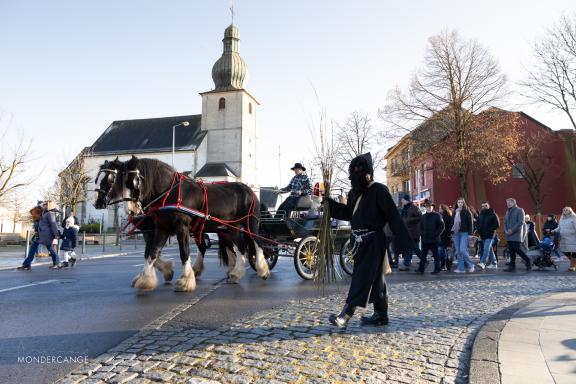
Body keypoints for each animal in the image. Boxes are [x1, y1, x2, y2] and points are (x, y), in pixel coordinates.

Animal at [96, 156, 270, 292]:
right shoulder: (161, 229)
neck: (167, 193)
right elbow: (152, 253)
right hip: (229, 228)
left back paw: (262, 270)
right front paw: (146, 279)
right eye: (119, 181)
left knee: (256, 243)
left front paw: (185, 281)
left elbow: (183, 252)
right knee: (239, 248)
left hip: (250, 224)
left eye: (133, 181)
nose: (132, 210)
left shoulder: (179, 228)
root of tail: (248, 189)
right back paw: (235, 273)